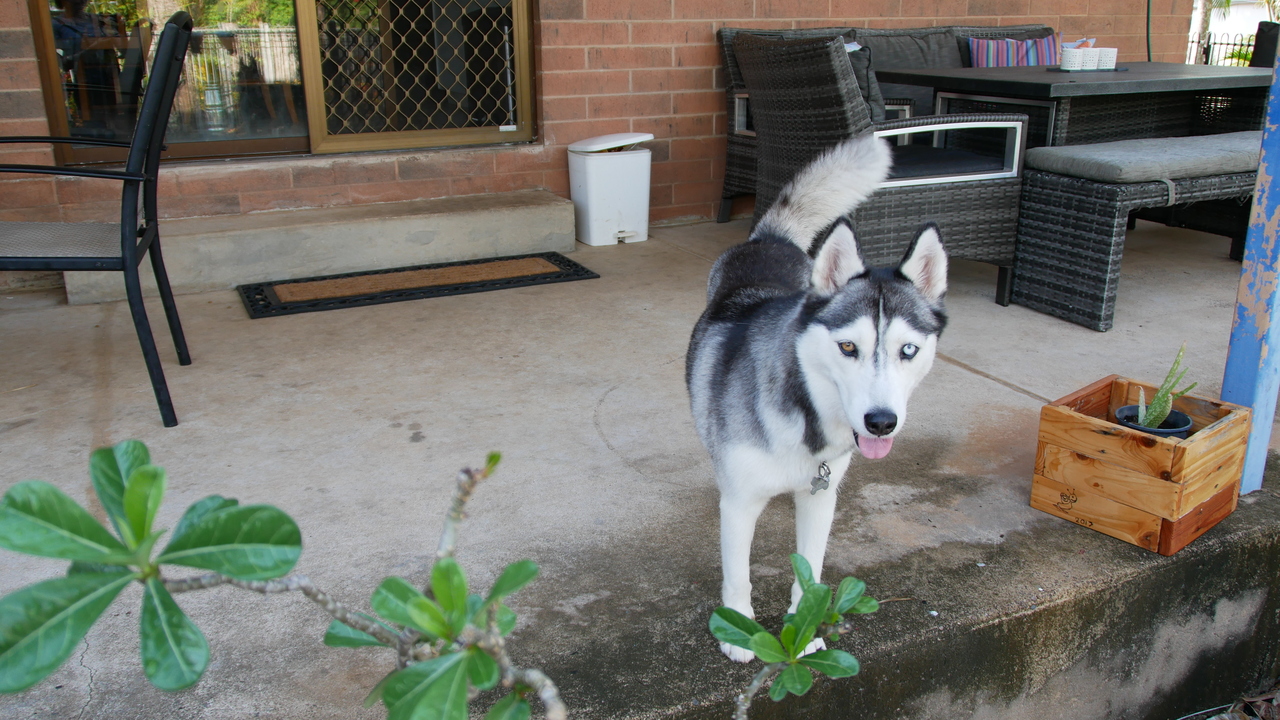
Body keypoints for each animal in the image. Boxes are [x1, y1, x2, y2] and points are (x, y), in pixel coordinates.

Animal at [686, 134, 948, 662]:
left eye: (908, 350)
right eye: (848, 347)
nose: (881, 422)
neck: (805, 414)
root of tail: (770, 239)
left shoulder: (821, 500)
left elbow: (810, 569)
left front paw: (803, 630)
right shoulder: (740, 504)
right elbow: (738, 575)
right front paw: (738, 631)